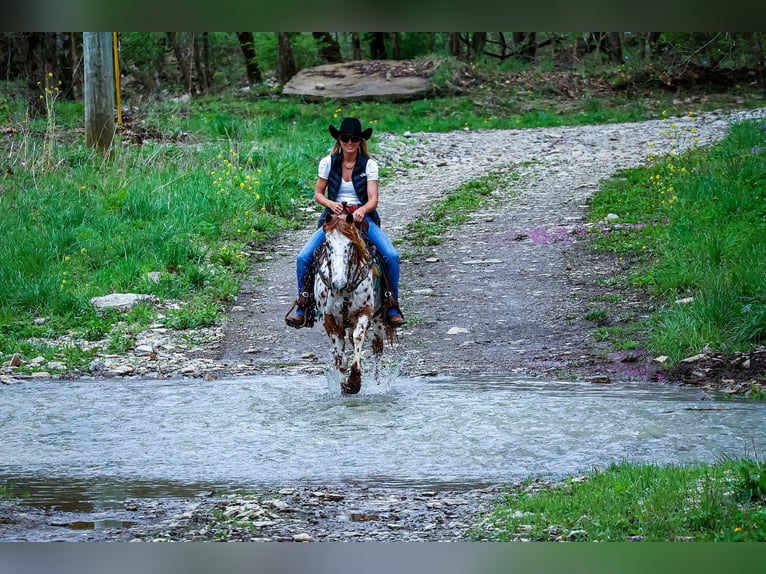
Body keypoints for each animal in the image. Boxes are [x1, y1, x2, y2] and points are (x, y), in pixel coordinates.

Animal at [314, 212, 392, 396]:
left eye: (350, 244)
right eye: (328, 244)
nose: (338, 283)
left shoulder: (365, 312)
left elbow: (358, 338)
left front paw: (355, 381)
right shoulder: (329, 320)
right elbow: (340, 357)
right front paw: (344, 387)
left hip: (378, 318)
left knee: (377, 348)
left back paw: (376, 383)